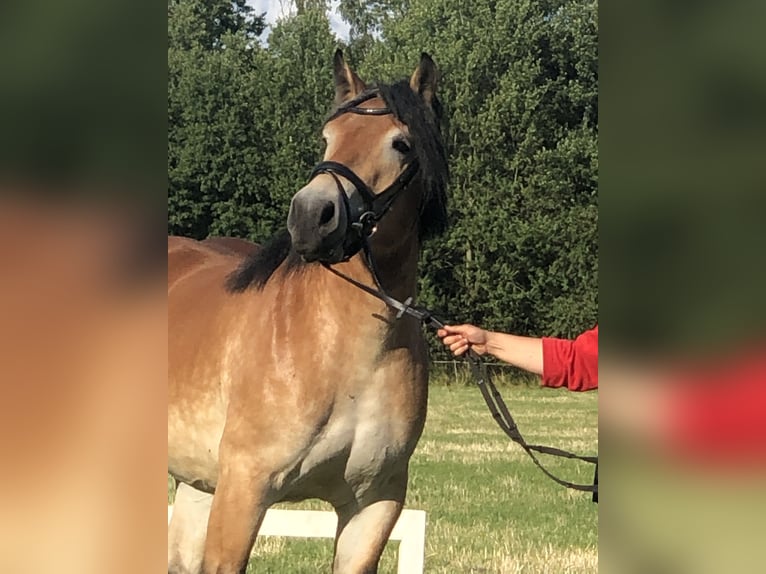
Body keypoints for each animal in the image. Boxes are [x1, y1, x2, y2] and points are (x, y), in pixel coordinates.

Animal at [165, 50, 448, 574]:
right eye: (327, 136)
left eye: (400, 143)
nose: (311, 216)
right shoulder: (243, 493)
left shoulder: (372, 505)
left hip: (196, 486)